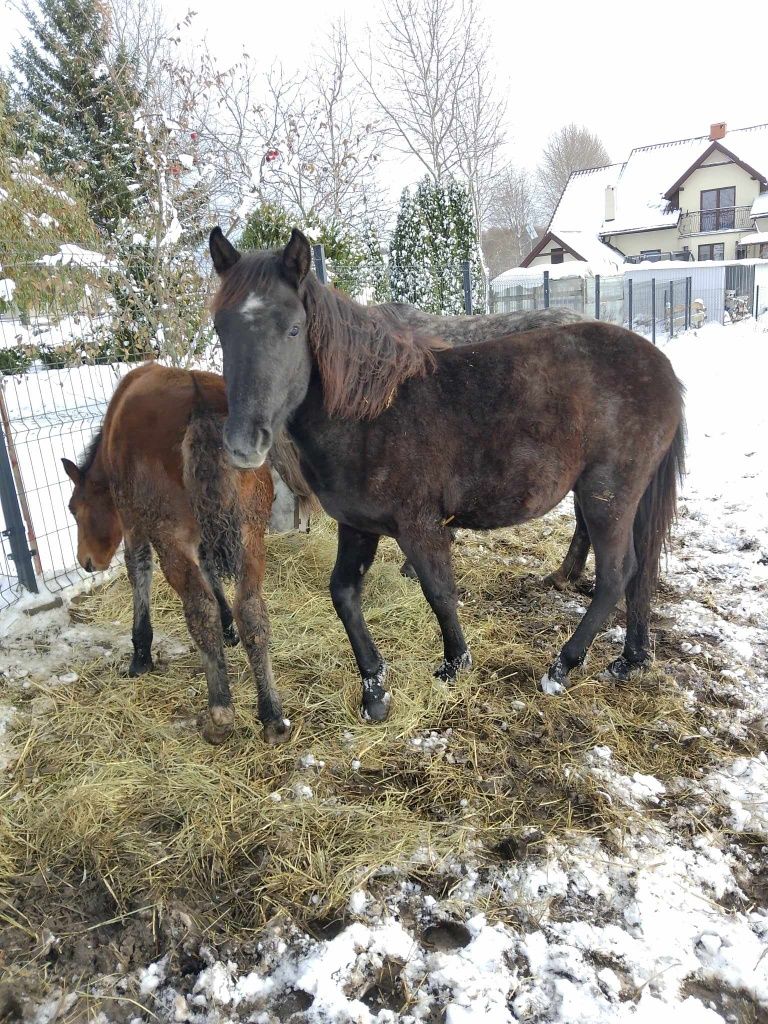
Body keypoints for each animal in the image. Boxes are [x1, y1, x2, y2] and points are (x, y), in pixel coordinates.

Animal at [60, 364, 290, 749]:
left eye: (74, 508)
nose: (87, 561)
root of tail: (202, 410)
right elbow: (211, 570)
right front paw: (229, 628)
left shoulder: (134, 522)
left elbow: (138, 571)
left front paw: (140, 656)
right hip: (251, 533)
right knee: (253, 611)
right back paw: (272, 714)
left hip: (172, 538)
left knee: (200, 610)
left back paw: (220, 714)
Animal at [208, 224, 684, 720]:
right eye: (221, 328)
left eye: (293, 328)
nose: (243, 443)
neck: (370, 414)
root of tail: (660, 367)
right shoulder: (358, 525)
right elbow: (343, 594)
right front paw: (374, 689)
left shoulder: (419, 526)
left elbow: (438, 593)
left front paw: (455, 664)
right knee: (641, 570)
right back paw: (631, 660)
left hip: (605, 495)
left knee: (616, 574)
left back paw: (563, 666)